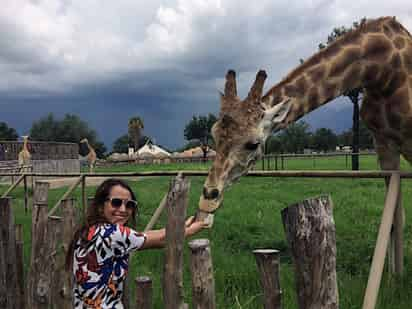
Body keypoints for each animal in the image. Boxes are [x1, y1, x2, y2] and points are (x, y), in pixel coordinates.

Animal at [196, 16, 412, 219]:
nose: (208, 199)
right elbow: (396, 216)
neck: (382, 72)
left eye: (253, 144)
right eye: (214, 135)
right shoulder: (383, 145)